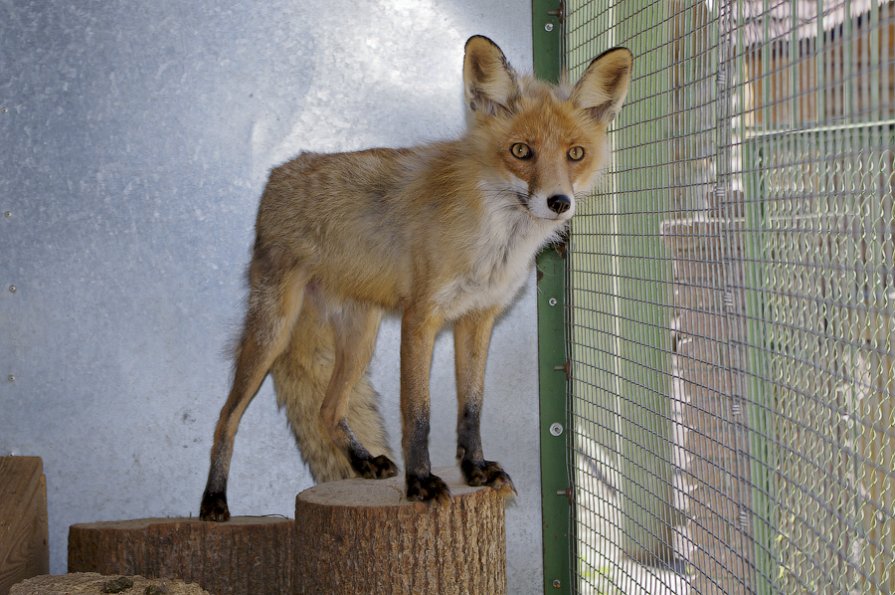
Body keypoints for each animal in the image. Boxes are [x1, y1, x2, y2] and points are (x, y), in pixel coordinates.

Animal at [198, 36, 632, 520]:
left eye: (576, 154)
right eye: (521, 151)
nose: (559, 202)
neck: (494, 241)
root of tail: (278, 173)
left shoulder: (477, 319)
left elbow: (471, 408)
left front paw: (475, 469)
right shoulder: (420, 318)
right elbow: (417, 413)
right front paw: (421, 483)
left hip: (360, 338)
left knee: (326, 410)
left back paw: (364, 462)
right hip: (273, 332)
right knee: (226, 418)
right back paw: (213, 500)